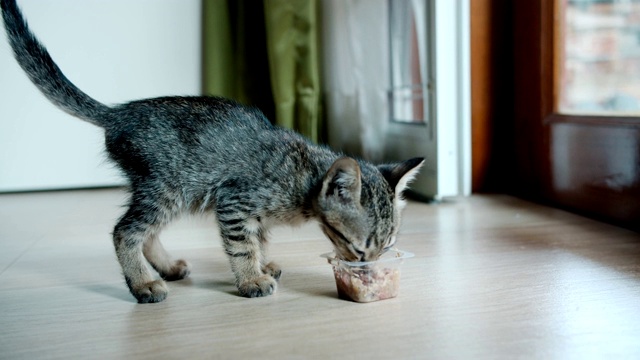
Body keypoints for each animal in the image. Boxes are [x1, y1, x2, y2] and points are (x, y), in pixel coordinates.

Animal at [1, 0, 424, 304]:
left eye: (387, 247)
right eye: (358, 248)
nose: (368, 268)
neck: (303, 176)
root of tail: (118, 112)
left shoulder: (252, 212)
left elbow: (259, 238)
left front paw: (264, 264)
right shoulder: (235, 201)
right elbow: (241, 246)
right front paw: (251, 278)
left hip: (170, 191)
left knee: (145, 231)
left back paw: (167, 267)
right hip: (168, 187)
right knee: (125, 231)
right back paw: (144, 284)